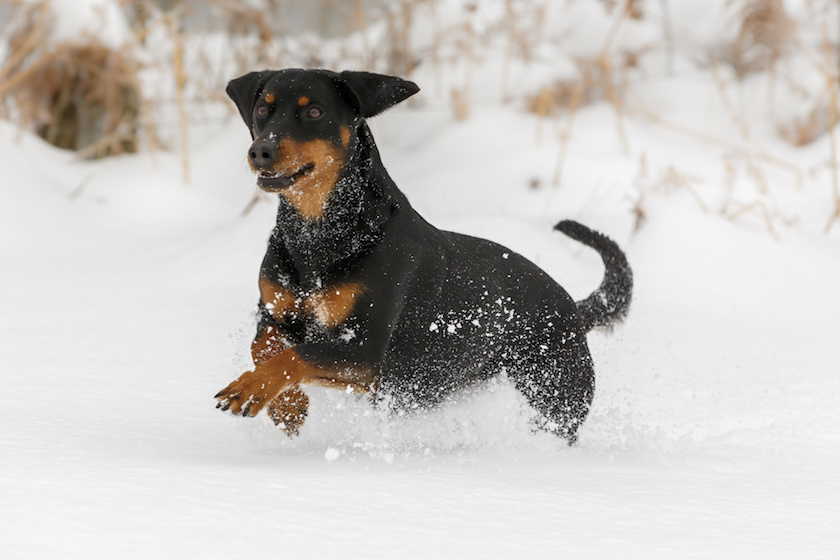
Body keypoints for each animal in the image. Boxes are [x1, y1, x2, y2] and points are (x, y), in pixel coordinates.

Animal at [213, 70, 632, 444]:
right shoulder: (274, 312)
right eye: (263, 110)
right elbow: (264, 347)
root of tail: (572, 307)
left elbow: (298, 356)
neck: (319, 235)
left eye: (314, 111)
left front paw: (250, 391)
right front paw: (288, 407)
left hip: (556, 391)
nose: (261, 150)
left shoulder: (366, 351)